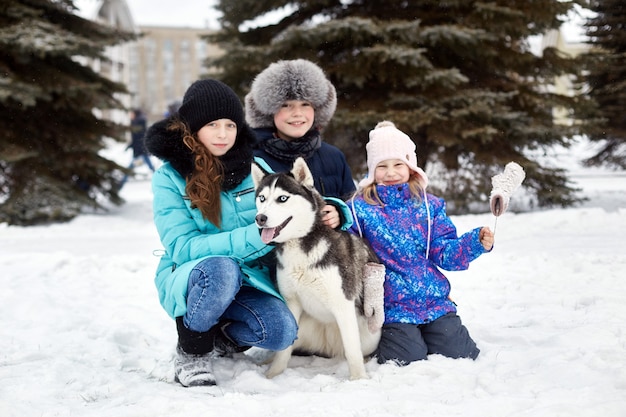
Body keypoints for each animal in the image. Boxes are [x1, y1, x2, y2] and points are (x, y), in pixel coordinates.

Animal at [250, 157, 380, 380]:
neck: (300, 245)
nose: (260, 218)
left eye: (282, 198)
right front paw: (273, 375)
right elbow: (284, 350)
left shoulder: (343, 304)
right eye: (262, 198)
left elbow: (352, 351)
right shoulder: (291, 303)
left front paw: (358, 380)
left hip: (369, 335)